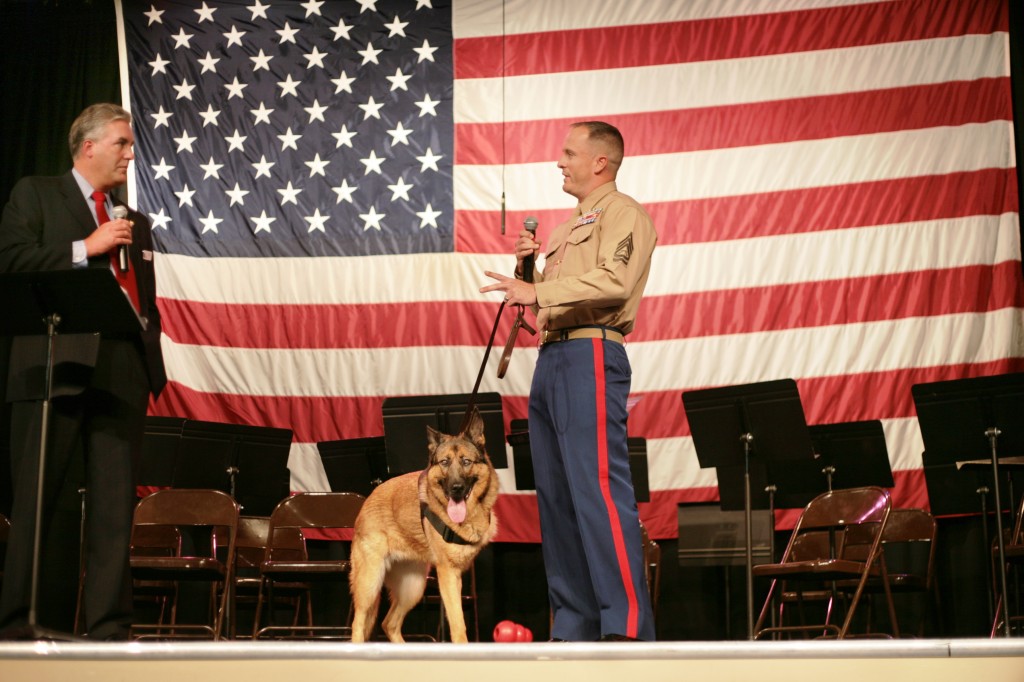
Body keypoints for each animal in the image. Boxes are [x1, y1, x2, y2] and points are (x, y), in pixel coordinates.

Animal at [350, 405, 497, 638]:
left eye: (466, 462)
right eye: (444, 462)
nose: (455, 488)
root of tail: (367, 500)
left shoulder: (454, 577)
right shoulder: (448, 574)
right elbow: (458, 626)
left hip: (413, 587)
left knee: (389, 623)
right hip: (370, 583)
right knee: (358, 624)